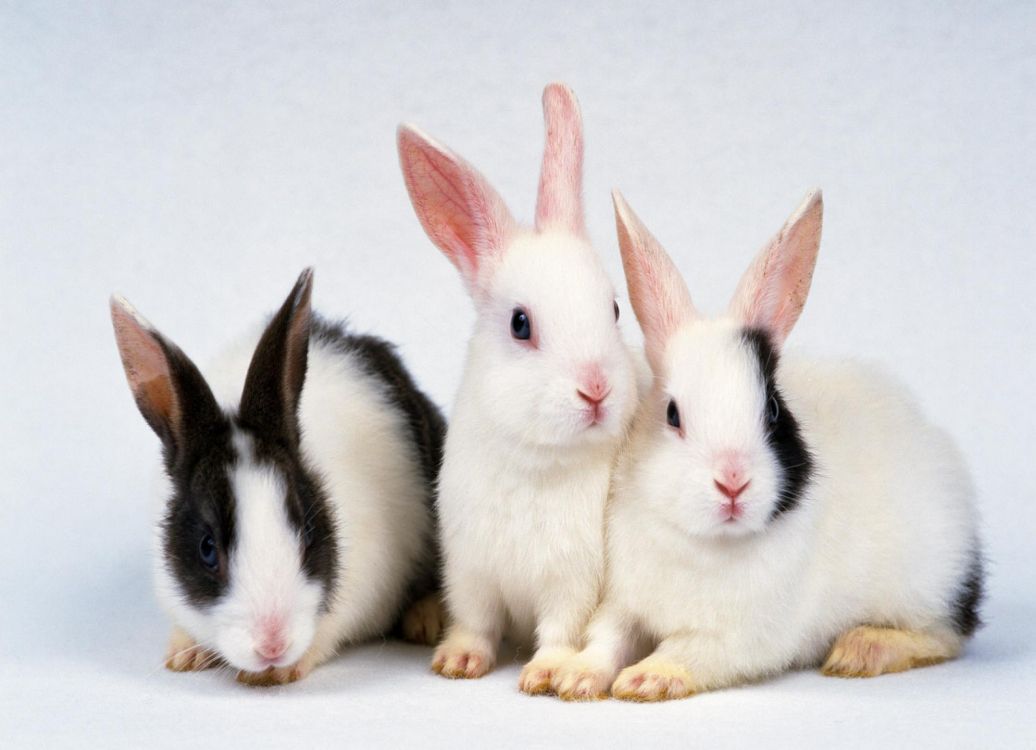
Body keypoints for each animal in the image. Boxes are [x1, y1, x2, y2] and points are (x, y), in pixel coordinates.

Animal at [110, 268, 447, 686]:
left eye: (308, 531)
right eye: (207, 548)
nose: (273, 645)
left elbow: (327, 634)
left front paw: (280, 672)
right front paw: (184, 654)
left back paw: (426, 620)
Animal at [396, 83, 641, 693]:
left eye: (614, 309)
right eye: (520, 324)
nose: (596, 389)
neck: (535, 460)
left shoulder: (572, 583)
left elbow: (560, 630)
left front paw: (547, 673)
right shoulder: (471, 572)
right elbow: (476, 622)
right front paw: (458, 662)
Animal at [552, 190, 984, 702]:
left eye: (774, 412)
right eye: (672, 415)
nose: (733, 482)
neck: (705, 542)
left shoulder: (738, 639)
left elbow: (685, 649)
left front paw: (646, 678)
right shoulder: (624, 602)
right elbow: (606, 637)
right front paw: (576, 677)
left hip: (926, 585)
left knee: (945, 635)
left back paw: (861, 649)